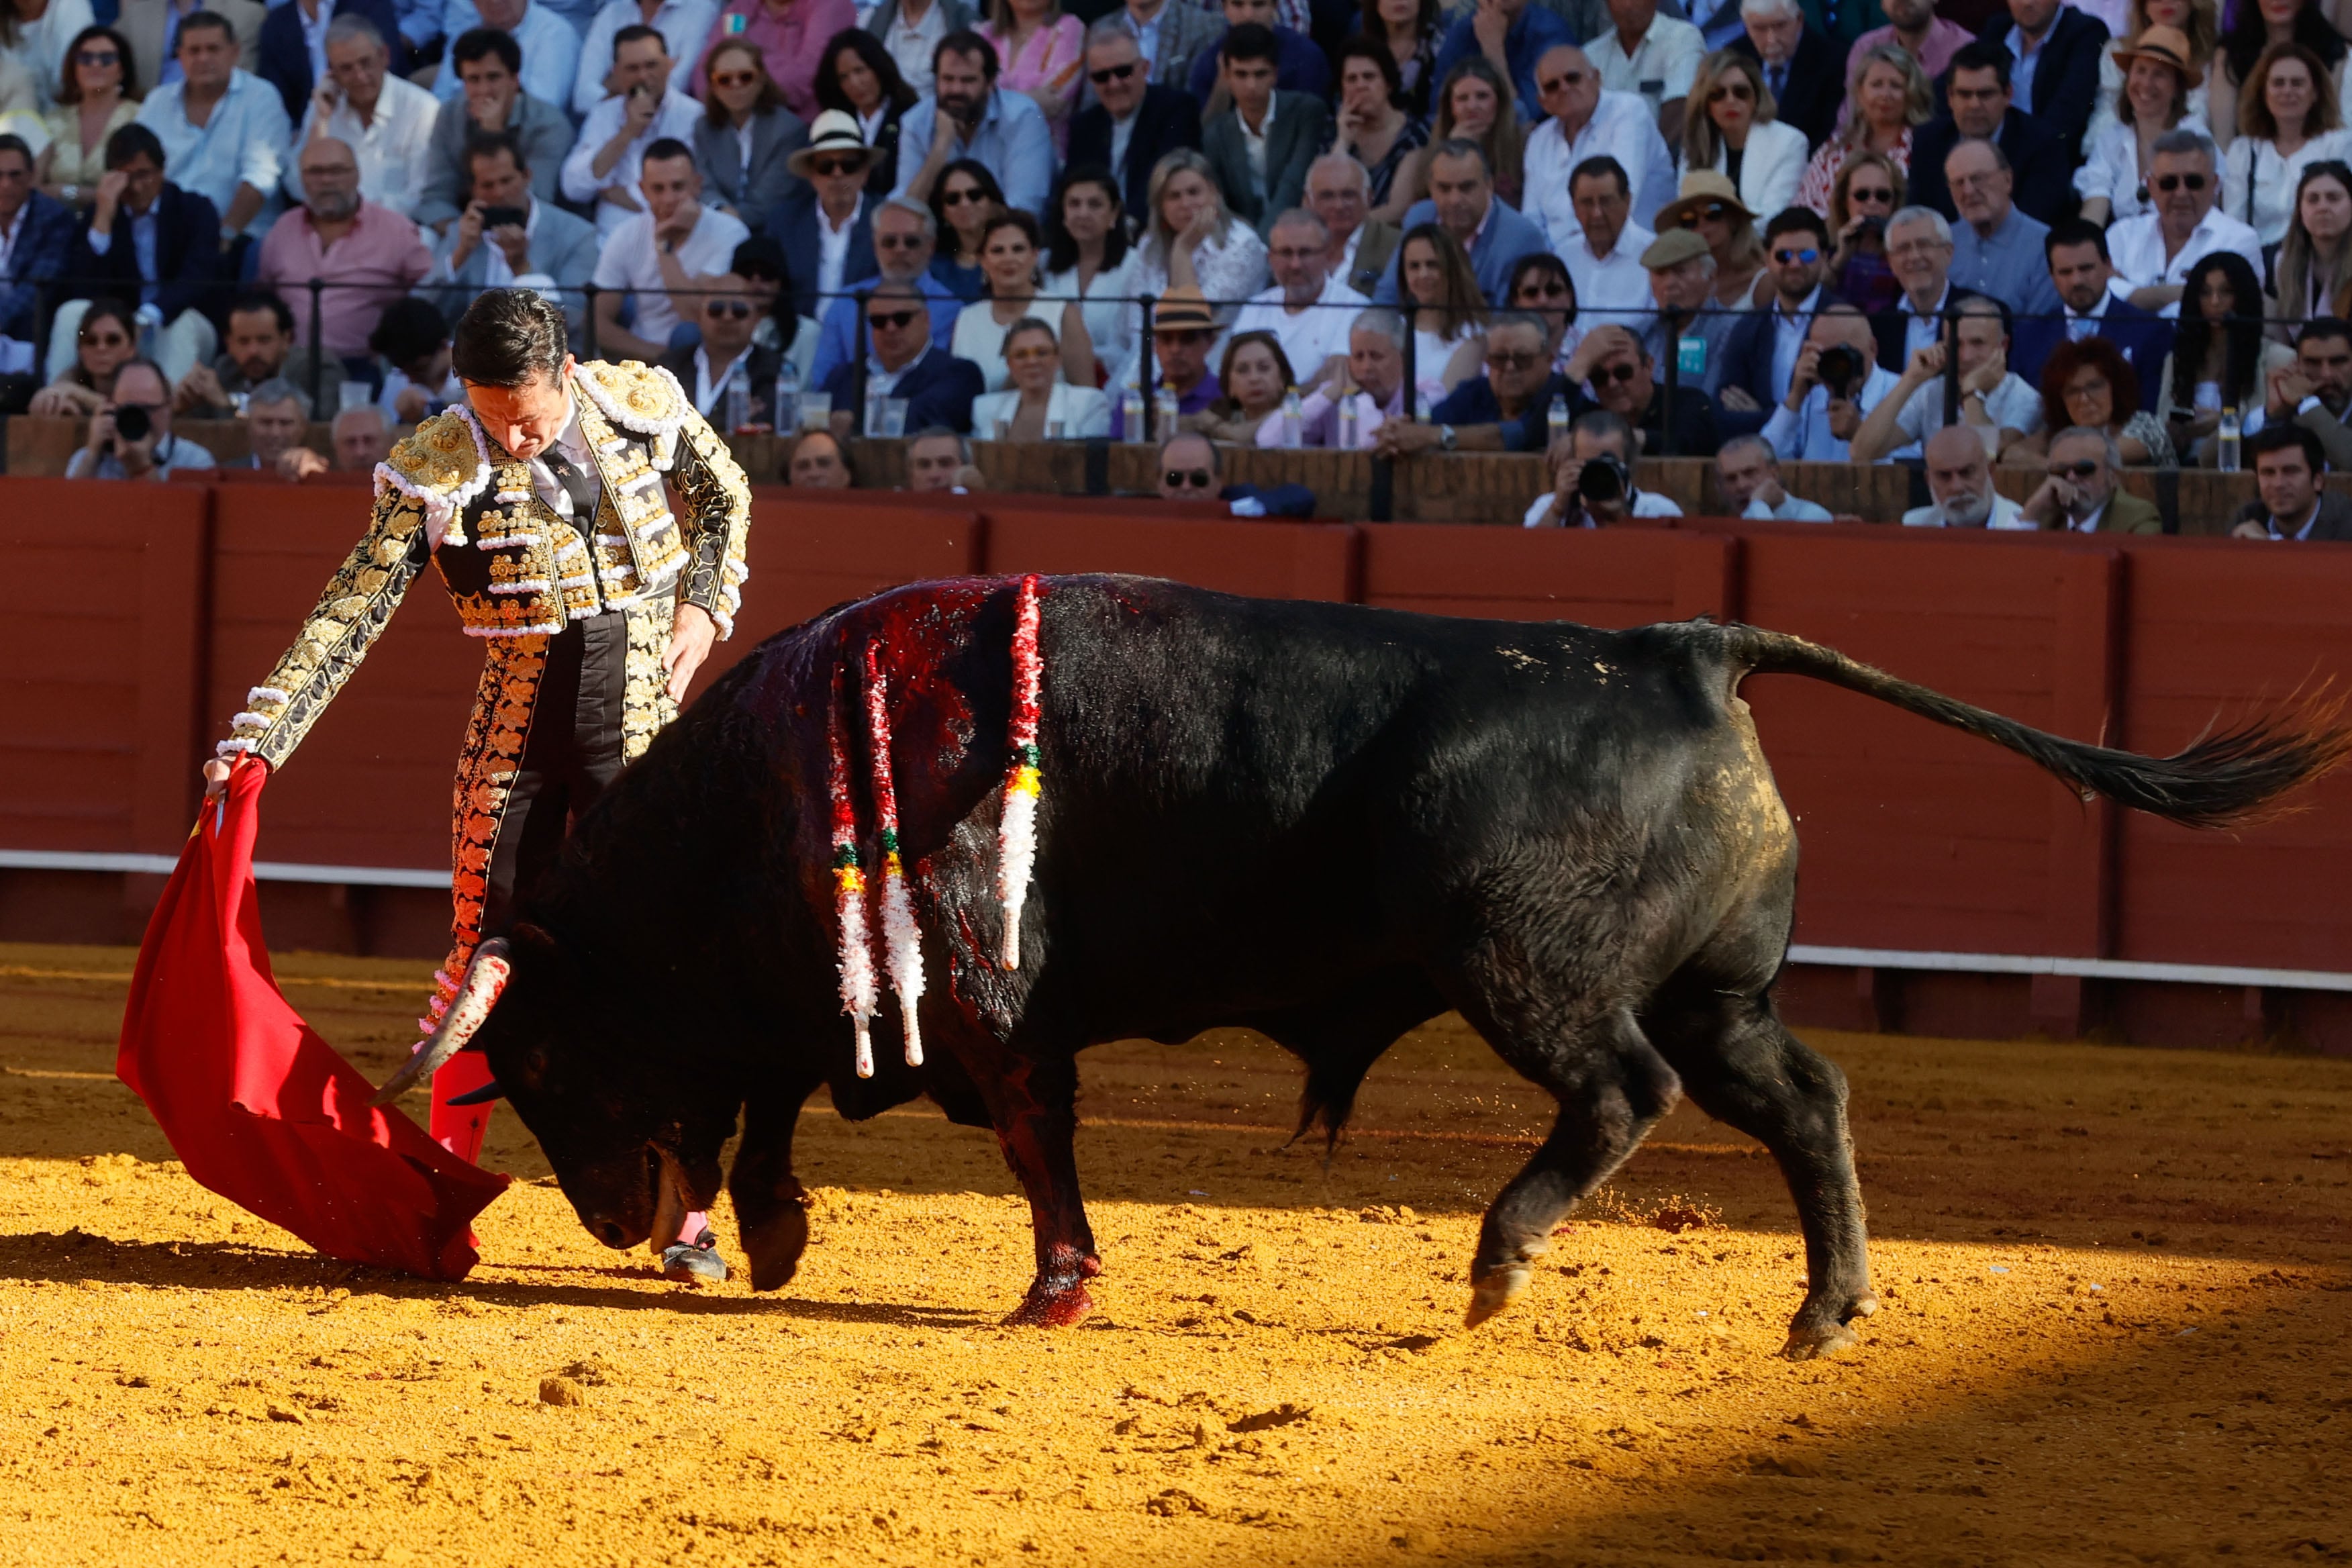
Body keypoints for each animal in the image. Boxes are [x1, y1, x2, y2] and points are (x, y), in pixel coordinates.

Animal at [376, 576, 2342, 1363]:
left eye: (541, 1064)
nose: (608, 1220)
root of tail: (1679, 646)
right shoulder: (866, 990)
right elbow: (794, 1082)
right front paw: (781, 1232)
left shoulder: (989, 1003)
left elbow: (1015, 1134)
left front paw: (1052, 1290)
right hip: (1720, 988)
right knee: (1801, 1099)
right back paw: (1823, 1310)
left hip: (1526, 967)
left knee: (1620, 1092)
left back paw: (1498, 1258)